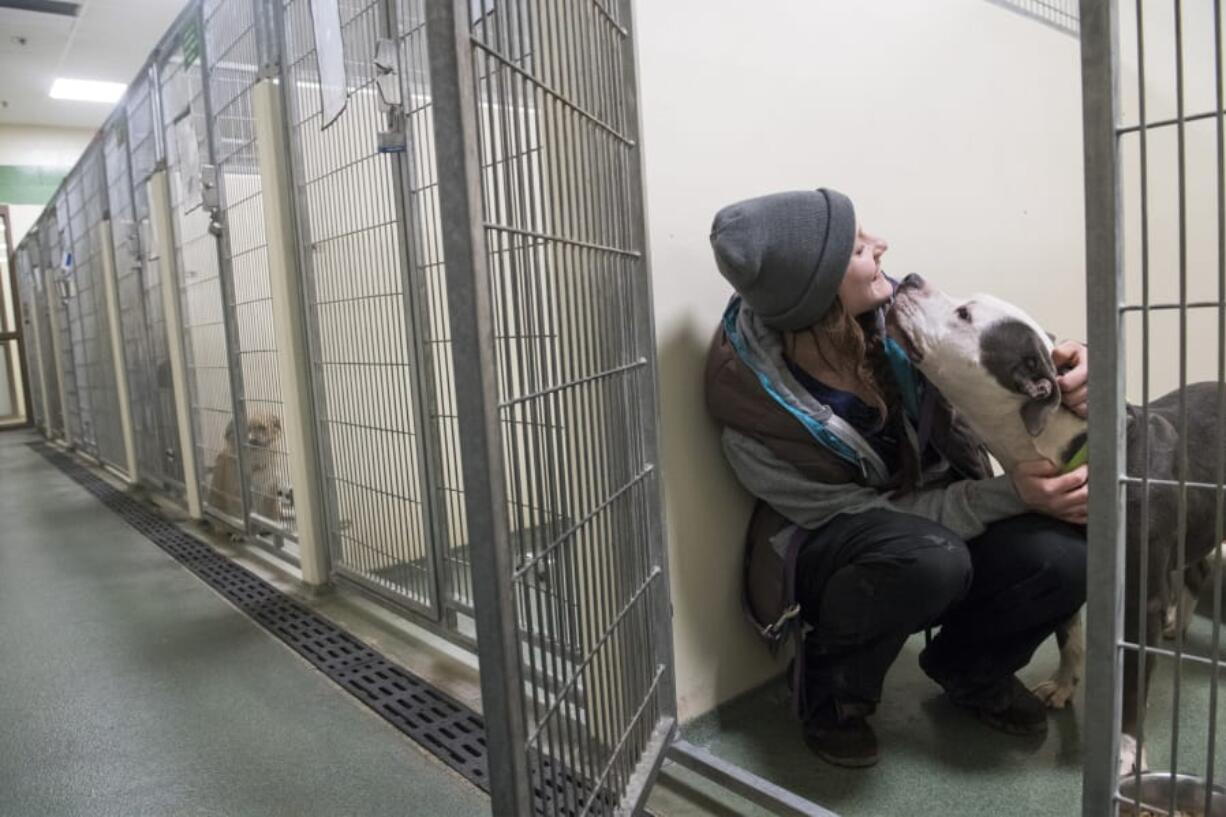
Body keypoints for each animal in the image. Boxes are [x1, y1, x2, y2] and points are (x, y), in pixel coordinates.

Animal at [887, 272, 1221, 770]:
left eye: (964, 314)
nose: (909, 278)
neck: (1074, 448)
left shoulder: (1139, 601)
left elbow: (1131, 682)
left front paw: (1126, 750)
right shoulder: (1083, 563)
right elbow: (1067, 632)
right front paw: (1065, 684)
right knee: (1197, 568)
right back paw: (1176, 625)